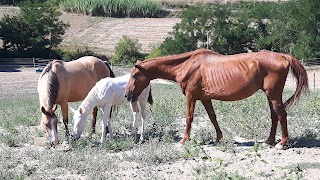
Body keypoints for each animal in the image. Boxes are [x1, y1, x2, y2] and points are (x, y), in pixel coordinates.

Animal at [124, 48, 308, 149]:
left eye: (134, 75)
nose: (127, 95)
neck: (187, 65)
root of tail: (284, 56)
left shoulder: (191, 96)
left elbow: (189, 118)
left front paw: (184, 139)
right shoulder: (204, 98)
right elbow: (212, 117)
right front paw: (218, 139)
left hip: (274, 95)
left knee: (281, 115)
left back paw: (282, 143)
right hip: (270, 95)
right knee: (274, 116)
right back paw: (269, 141)